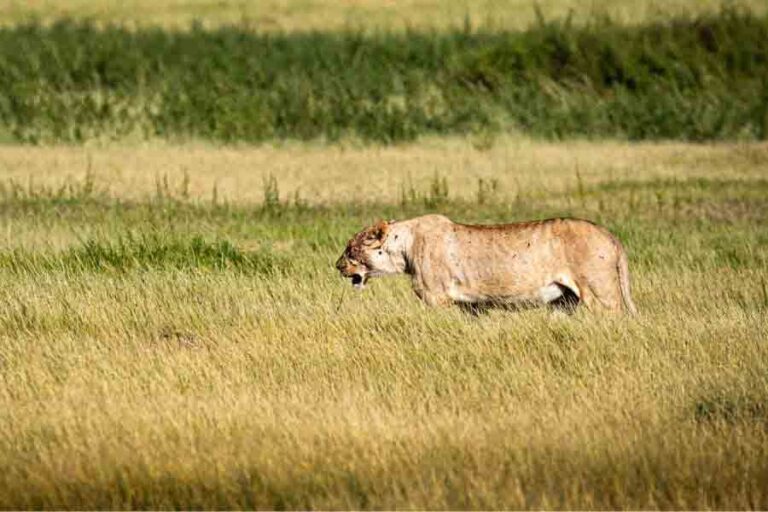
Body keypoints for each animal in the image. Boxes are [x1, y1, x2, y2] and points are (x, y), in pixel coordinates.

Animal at [335, 214, 637, 314]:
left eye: (350, 249)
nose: (337, 266)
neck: (405, 246)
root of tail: (610, 235)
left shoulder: (437, 298)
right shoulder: (469, 305)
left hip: (600, 294)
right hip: (565, 302)